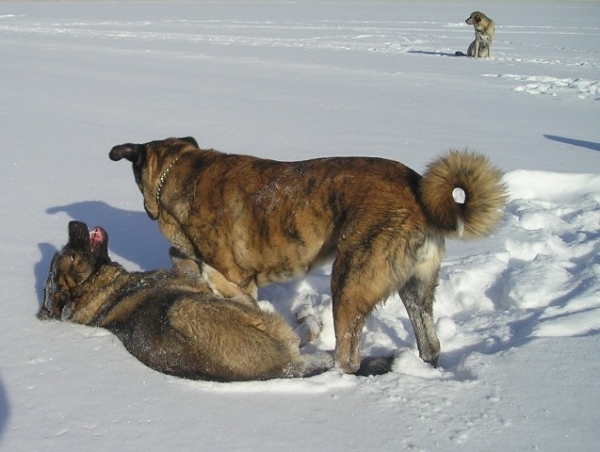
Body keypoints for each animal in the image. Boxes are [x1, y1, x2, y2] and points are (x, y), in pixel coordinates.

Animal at [37, 221, 332, 380]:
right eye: (70, 255)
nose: (72, 224)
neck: (104, 288)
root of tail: (279, 370)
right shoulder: (190, 280)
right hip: (186, 306)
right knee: (287, 330)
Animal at [109, 138, 506, 374]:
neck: (183, 173)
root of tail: (421, 194)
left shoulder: (237, 278)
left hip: (349, 282)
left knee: (347, 358)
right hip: (415, 289)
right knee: (430, 343)